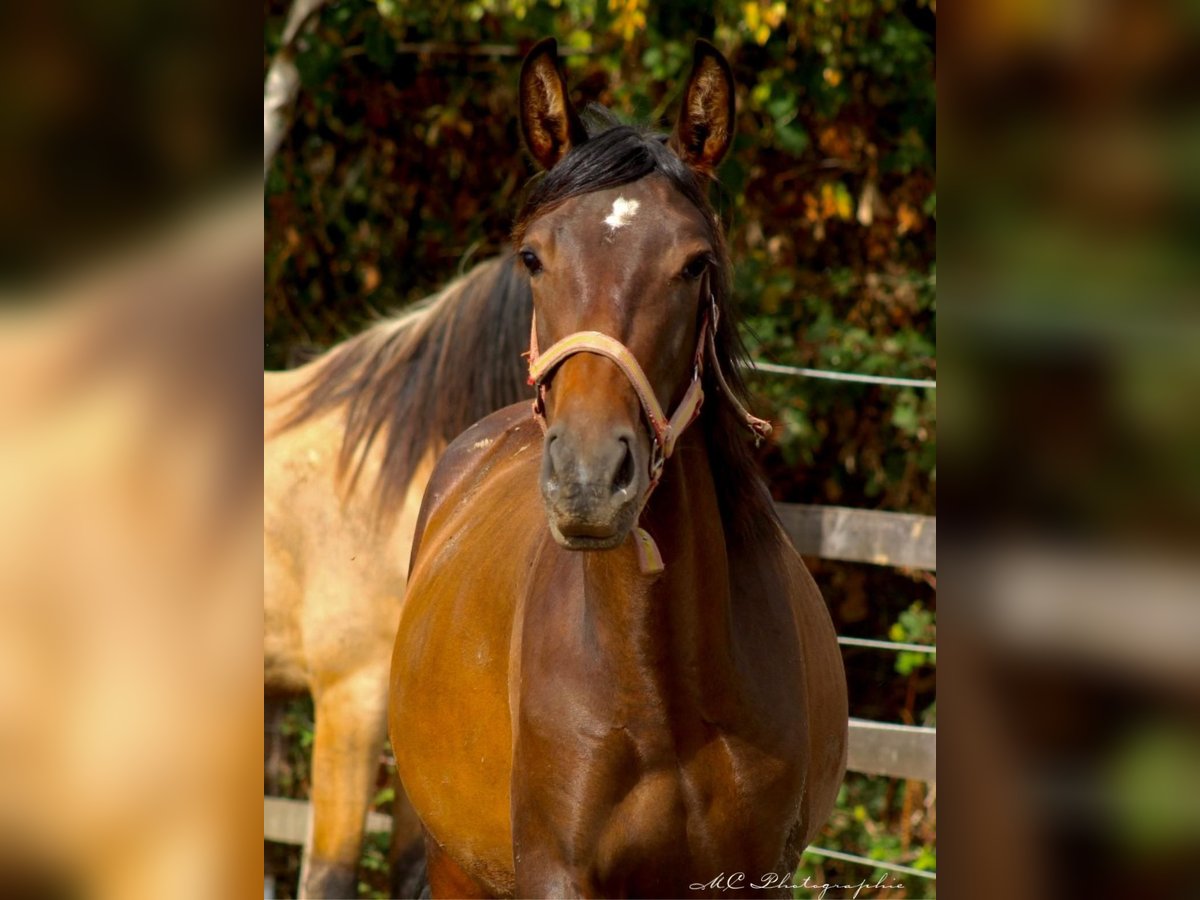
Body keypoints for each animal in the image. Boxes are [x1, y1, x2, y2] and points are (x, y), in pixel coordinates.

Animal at [388, 38, 849, 897]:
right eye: (532, 257)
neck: (659, 686)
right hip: (453, 864)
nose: (590, 479)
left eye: (695, 264)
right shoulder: (555, 872)